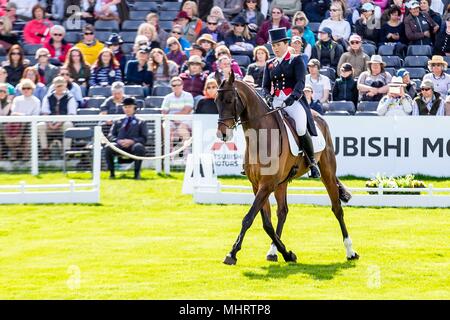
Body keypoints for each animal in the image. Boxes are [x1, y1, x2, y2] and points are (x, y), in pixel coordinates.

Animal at [216, 72, 360, 264]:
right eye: (216, 101)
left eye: (230, 100)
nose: (223, 134)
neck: (261, 136)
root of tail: (318, 116)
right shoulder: (258, 185)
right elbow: (266, 222)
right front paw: (287, 253)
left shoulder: (267, 184)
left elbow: (249, 218)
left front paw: (232, 253)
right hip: (281, 183)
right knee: (282, 212)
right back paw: (273, 251)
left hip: (327, 172)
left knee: (337, 209)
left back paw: (350, 251)